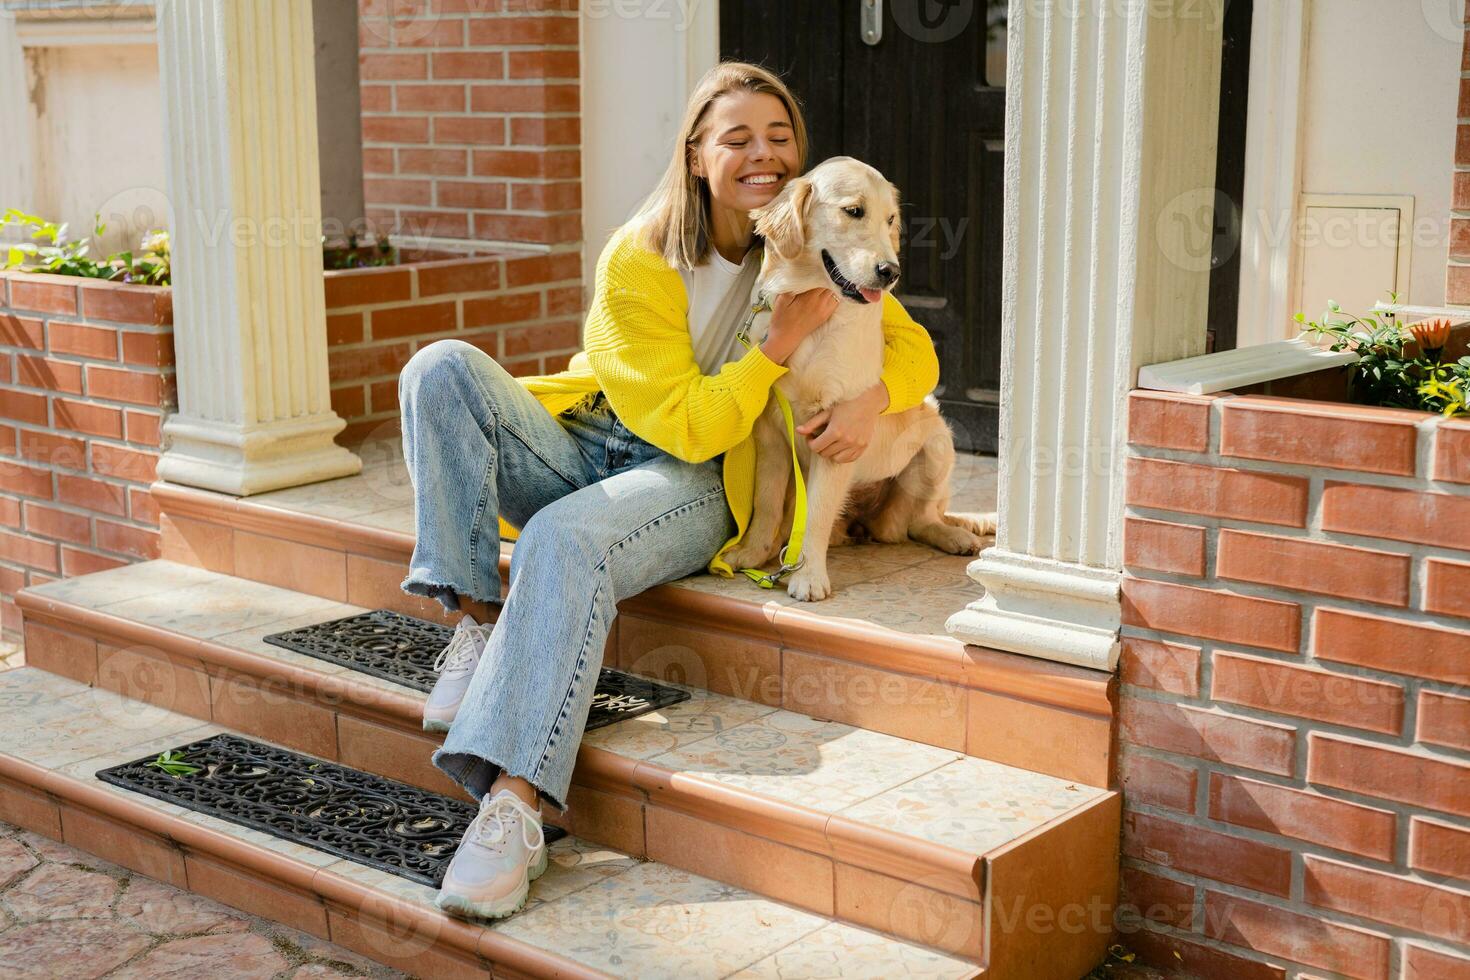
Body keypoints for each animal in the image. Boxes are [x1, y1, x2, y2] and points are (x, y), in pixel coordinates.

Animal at [717, 157, 993, 602]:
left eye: (891, 219)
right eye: (853, 211)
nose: (890, 271)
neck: (813, 320)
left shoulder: (836, 435)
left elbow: (815, 515)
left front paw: (808, 576)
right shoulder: (771, 433)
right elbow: (766, 502)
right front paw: (750, 553)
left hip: (937, 441)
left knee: (918, 521)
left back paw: (953, 536)